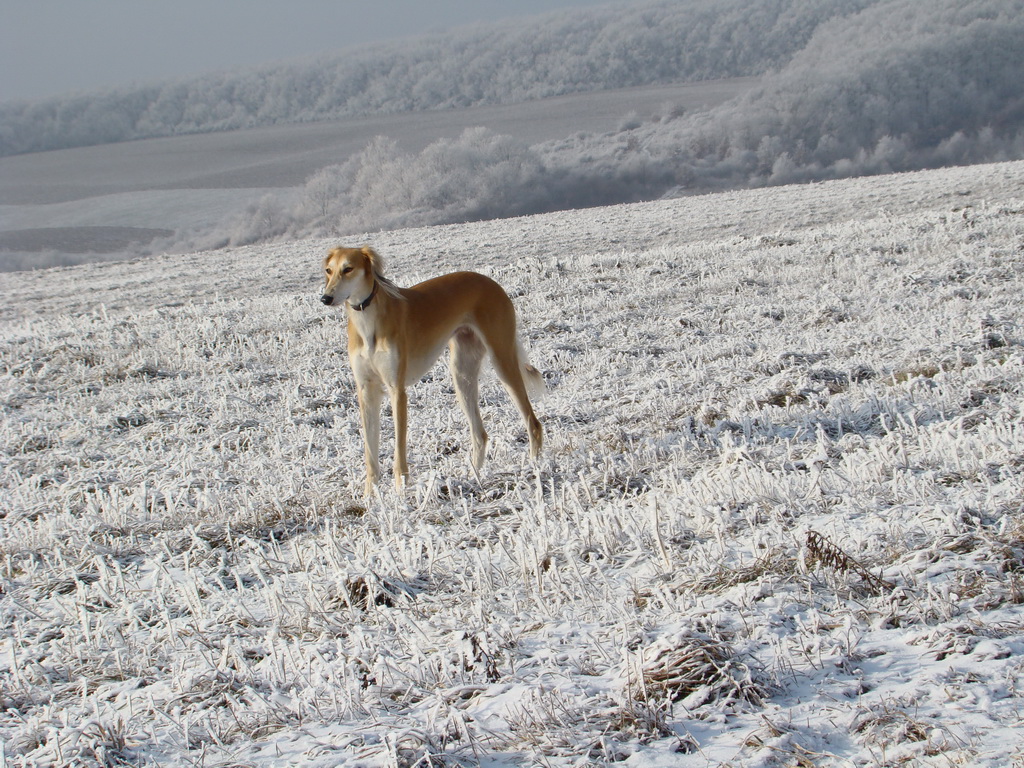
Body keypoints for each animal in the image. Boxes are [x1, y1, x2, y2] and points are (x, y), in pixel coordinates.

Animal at [319, 249, 544, 495]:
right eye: (329, 270)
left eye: (348, 269)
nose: (325, 298)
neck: (368, 320)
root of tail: (490, 282)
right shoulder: (366, 391)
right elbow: (370, 452)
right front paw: (371, 496)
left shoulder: (397, 390)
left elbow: (399, 449)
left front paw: (400, 494)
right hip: (462, 374)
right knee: (480, 435)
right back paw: (472, 478)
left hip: (502, 361)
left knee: (533, 423)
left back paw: (535, 467)